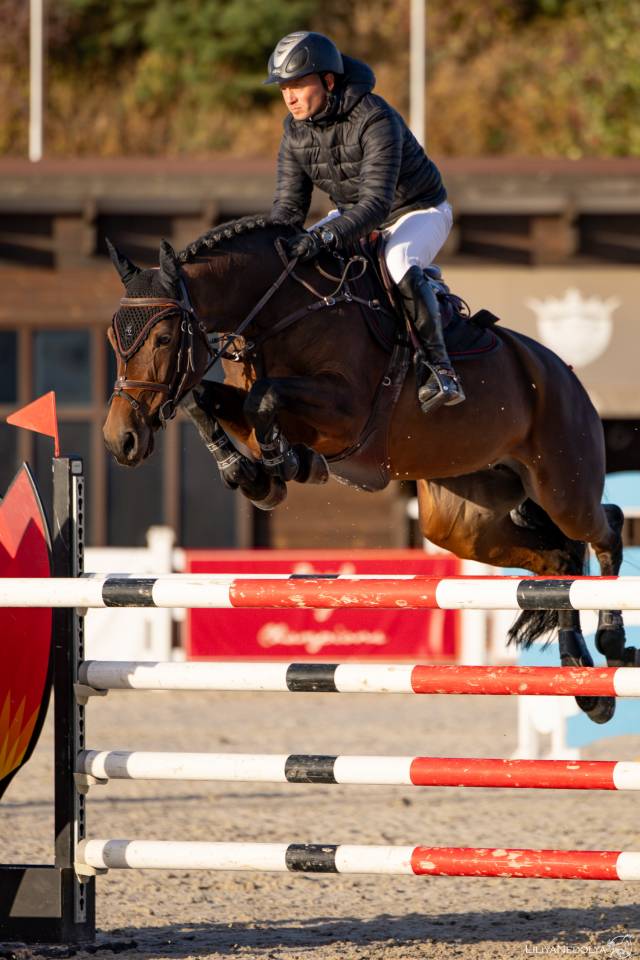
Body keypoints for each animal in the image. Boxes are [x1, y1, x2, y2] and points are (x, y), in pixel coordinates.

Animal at [102, 215, 638, 725]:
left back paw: (611, 646)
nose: (119, 439)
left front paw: (284, 465)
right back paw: (582, 679)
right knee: (558, 561)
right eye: (112, 337)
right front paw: (251, 474)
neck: (282, 312)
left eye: (165, 337)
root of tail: (564, 372)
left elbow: (264, 397)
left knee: (605, 527)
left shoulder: (345, 413)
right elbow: (205, 398)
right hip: (463, 521)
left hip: (562, 486)